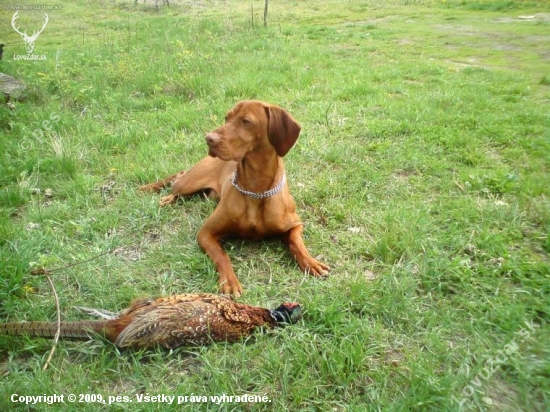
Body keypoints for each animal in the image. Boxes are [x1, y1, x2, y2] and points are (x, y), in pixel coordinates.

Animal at [140, 103, 330, 296]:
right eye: (227, 117)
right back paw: (163, 196)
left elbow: (297, 242)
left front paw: (311, 262)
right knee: (178, 178)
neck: (256, 189)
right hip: (187, 184)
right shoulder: (205, 233)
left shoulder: (295, 224)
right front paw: (229, 281)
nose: (209, 139)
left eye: (246, 121)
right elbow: (222, 256)